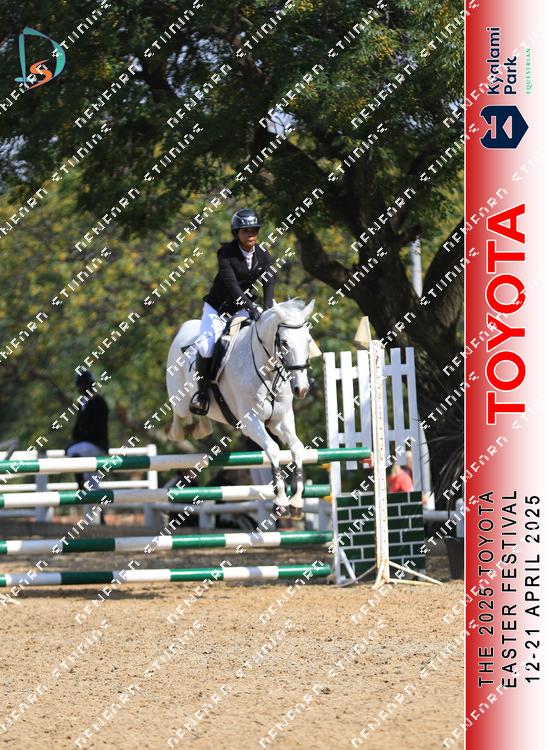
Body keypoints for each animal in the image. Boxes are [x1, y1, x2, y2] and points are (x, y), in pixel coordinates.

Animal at [166, 299, 316, 522]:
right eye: (284, 343)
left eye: (308, 341)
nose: (302, 389)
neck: (268, 370)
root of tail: (184, 328)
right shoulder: (250, 421)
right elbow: (273, 449)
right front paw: (280, 502)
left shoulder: (281, 420)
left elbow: (297, 448)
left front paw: (296, 503)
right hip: (180, 399)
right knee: (181, 414)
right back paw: (178, 431)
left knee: (200, 417)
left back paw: (202, 427)